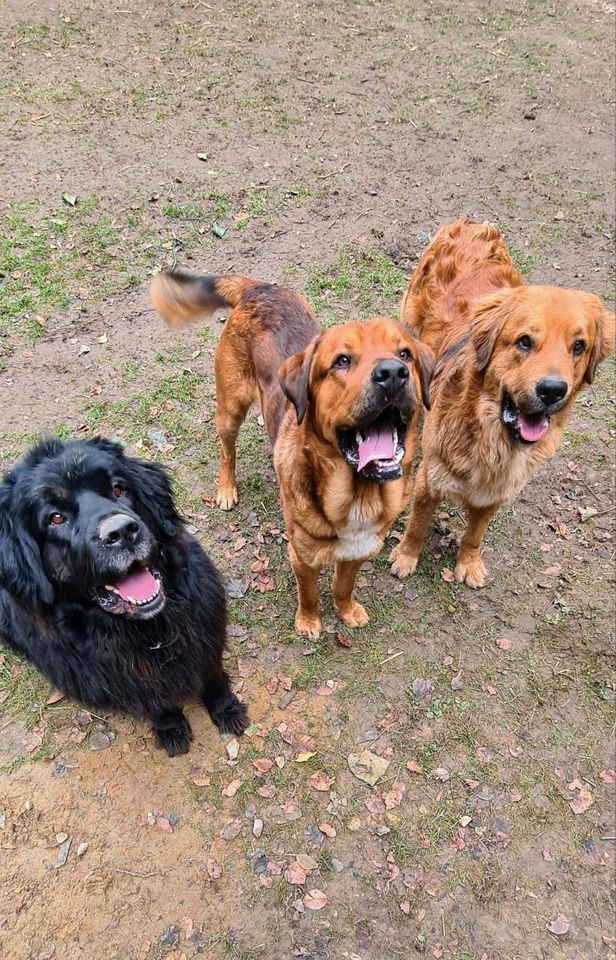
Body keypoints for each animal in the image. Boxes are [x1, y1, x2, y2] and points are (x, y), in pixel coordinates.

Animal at [1, 436, 249, 756]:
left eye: (119, 489)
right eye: (55, 518)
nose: (121, 531)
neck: (150, 631)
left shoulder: (204, 635)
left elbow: (213, 677)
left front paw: (227, 710)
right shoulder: (125, 676)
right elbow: (155, 700)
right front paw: (170, 728)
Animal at [152, 272, 434, 636]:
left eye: (405, 354)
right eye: (342, 361)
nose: (393, 373)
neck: (358, 496)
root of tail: (258, 289)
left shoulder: (358, 551)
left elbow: (343, 586)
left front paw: (345, 610)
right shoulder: (302, 556)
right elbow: (309, 593)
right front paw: (309, 622)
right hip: (230, 408)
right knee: (227, 450)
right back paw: (226, 488)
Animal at [392, 221, 612, 588]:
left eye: (579, 346)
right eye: (524, 341)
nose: (552, 390)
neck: (492, 439)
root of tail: (471, 224)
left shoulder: (497, 492)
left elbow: (474, 534)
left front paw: (468, 564)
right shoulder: (429, 481)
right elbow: (417, 526)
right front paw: (405, 557)